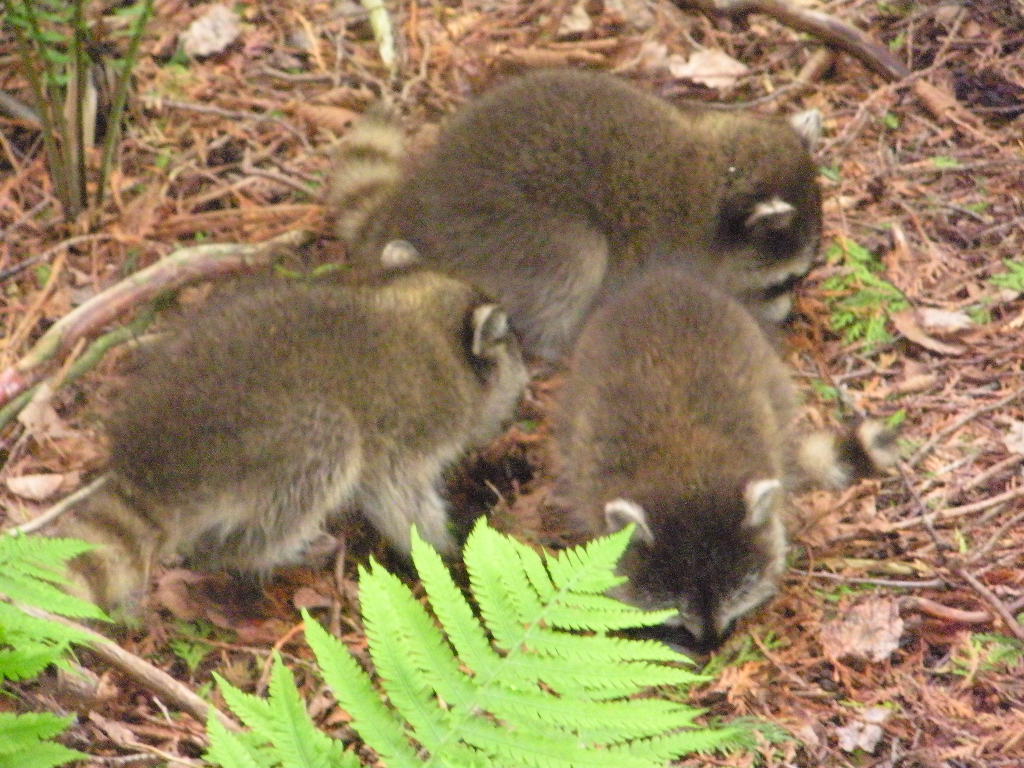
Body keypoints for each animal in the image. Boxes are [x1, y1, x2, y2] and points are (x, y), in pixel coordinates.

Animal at [58, 263, 528, 613]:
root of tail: (151, 464)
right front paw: (443, 546)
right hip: (278, 437)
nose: (527, 385)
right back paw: (260, 551)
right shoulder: (407, 433)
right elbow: (400, 499)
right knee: (326, 450)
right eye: (512, 349)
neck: (421, 313)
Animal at [326, 68, 823, 360]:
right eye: (786, 280)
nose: (788, 316)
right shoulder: (673, 249)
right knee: (572, 261)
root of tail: (419, 196)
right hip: (507, 227)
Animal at [554, 268, 897, 654]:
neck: (685, 476)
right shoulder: (590, 483)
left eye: (738, 595)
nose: (710, 646)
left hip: (769, 372)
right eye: (674, 606)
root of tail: (665, 279)